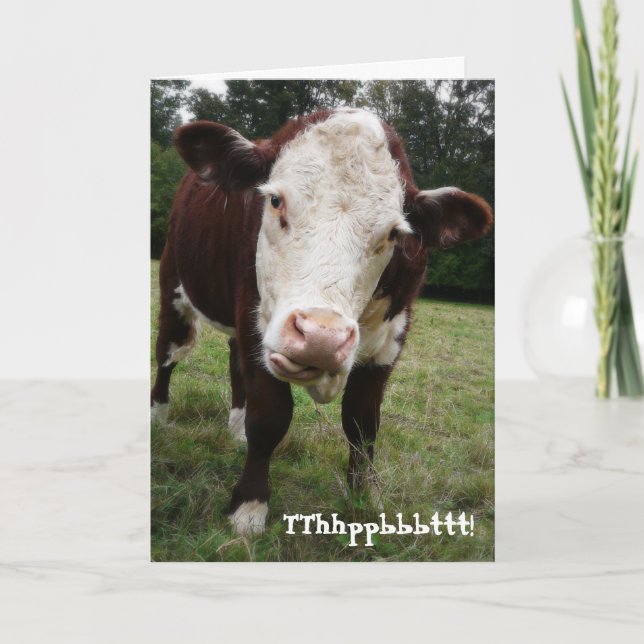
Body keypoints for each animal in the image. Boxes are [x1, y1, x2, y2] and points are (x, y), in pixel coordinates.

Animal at [151, 108, 492, 536]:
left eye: (393, 233)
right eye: (275, 200)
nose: (320, 338)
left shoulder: (389, 342)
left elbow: (362, 424)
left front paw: (365, 498)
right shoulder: (254, 317)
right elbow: (270, 417)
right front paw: (249, 507)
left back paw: (235, 428)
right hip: (174, 286)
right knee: (168, 355)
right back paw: (158, 418)